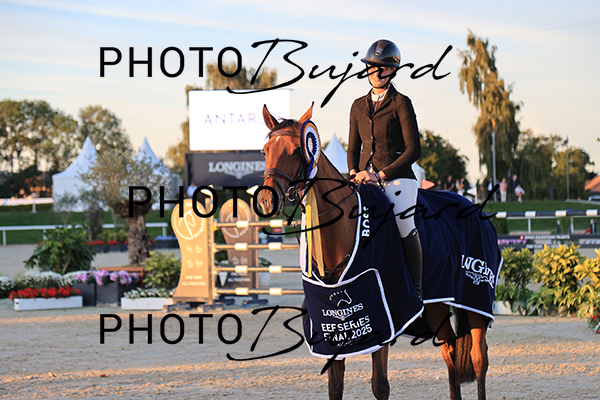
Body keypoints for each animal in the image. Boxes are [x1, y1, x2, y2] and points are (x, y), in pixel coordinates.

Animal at [257, 103, 494, 400]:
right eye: (265, 151)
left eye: (294, 151)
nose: (266, 201)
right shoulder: (333, 323)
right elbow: (335, 386)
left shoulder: (383, 315)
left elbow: (380, 384)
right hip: (437, 305)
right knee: (449, 350)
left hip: (476, 300)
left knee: (478, 357)